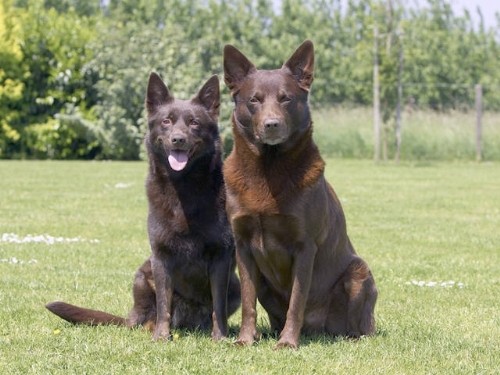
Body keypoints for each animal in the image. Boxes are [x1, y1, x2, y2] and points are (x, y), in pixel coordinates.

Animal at [46, 73, 241, 340]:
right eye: (166, 121)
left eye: (194, 123)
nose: (178, 139)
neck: (184, 188)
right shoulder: (161, 257)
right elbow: (163, 304)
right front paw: (161, 337)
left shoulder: (221, 257)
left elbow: (218, 305)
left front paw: (220, 337)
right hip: (142, 275)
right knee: (148, 316)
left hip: (237, 287)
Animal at [223, 41, 376, 350]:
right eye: (254, 100)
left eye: (286, 99)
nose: (271, 124)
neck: (268, 171)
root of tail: (317, 330)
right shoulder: (242, 246)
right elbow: (247, 301)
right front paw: (245, 339)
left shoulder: (304, 246)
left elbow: (297, 300)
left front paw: (287, 342)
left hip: (359, 272)